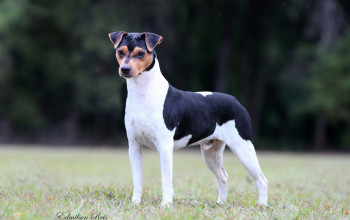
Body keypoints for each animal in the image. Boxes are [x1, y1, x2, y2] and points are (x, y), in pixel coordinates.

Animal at [108, 31, 268, 206]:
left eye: (141, 53)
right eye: (120, 52)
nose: (125, 69)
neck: (143, 93)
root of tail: (236, 101)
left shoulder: (165, 147)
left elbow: (166, 181)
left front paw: (166, 204)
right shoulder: (134, 146)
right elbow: (137, 180)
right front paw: (135, 202)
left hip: (243, 147)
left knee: (261, 179)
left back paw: (262, 204)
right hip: (211, 153)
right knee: (223, 176)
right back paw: (221, 202)